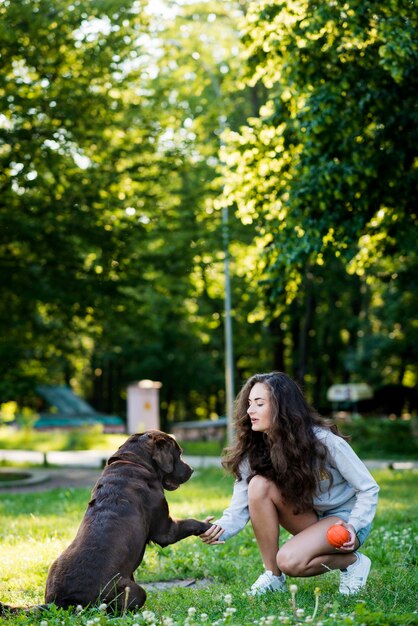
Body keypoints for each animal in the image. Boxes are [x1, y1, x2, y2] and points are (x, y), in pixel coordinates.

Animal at [0, 428, 211, 608]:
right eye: (179, 453)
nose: (191, 469)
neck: (133, 463)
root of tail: (60, 603)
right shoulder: (165, 529)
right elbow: (189, 522)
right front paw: (208, 526)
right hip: (133, 590)